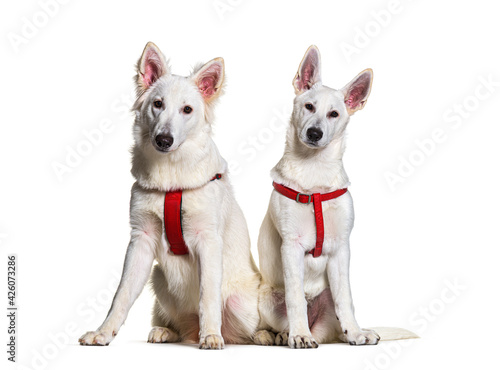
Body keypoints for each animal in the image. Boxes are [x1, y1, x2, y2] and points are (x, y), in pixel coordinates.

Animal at [78, 42, 262, 350]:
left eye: (187, 110)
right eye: (158, 104)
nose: (163, 140)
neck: (171, 182)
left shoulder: (207, 240)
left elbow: (208, 296)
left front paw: (211, 336)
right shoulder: (141, 239)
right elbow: (121, 294)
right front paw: (104, 332)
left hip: (241, 303)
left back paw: (262, 334)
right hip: (158, 279)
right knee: (180, 323)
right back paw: (168, 331)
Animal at [256, 44, 380, 348]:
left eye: (334, 114)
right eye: (309, 106)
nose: (314, 132)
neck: (313, 172)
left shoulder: (340, 250)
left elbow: (345, 299)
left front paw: (356, 333)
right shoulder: (291, 246)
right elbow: (295, 299)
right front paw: (300, 334)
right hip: (266, 296)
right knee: (276, 317)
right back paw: (276, 334)